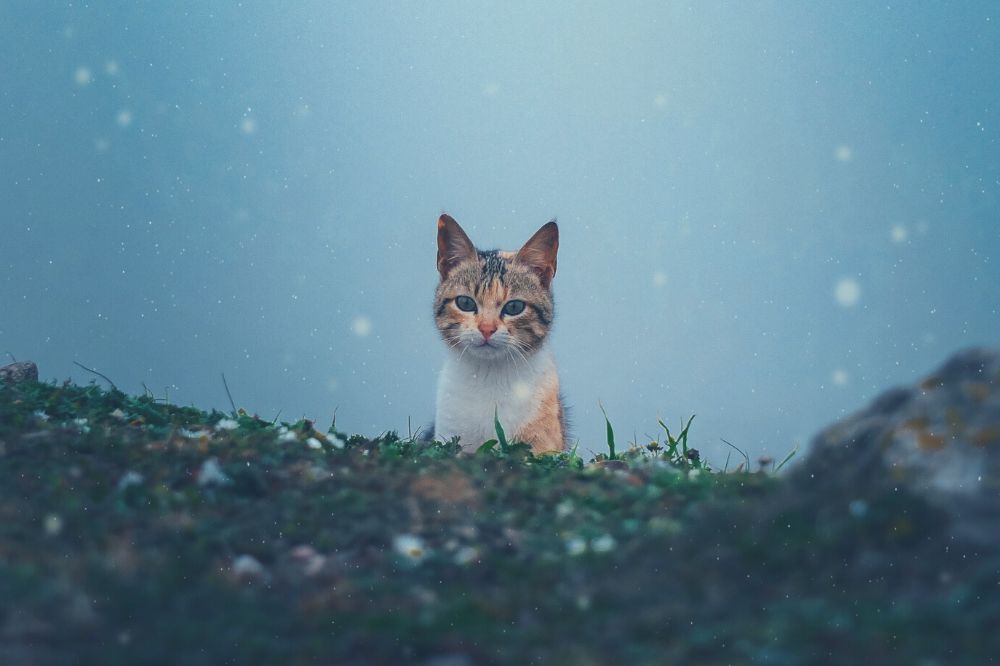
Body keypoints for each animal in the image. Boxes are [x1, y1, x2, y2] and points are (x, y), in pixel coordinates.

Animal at [432, 213, 568, 452]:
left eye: (514, 307)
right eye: (465, 303)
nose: (487, 329)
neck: (489, 375)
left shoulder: (543, 440)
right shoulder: (448, 433)